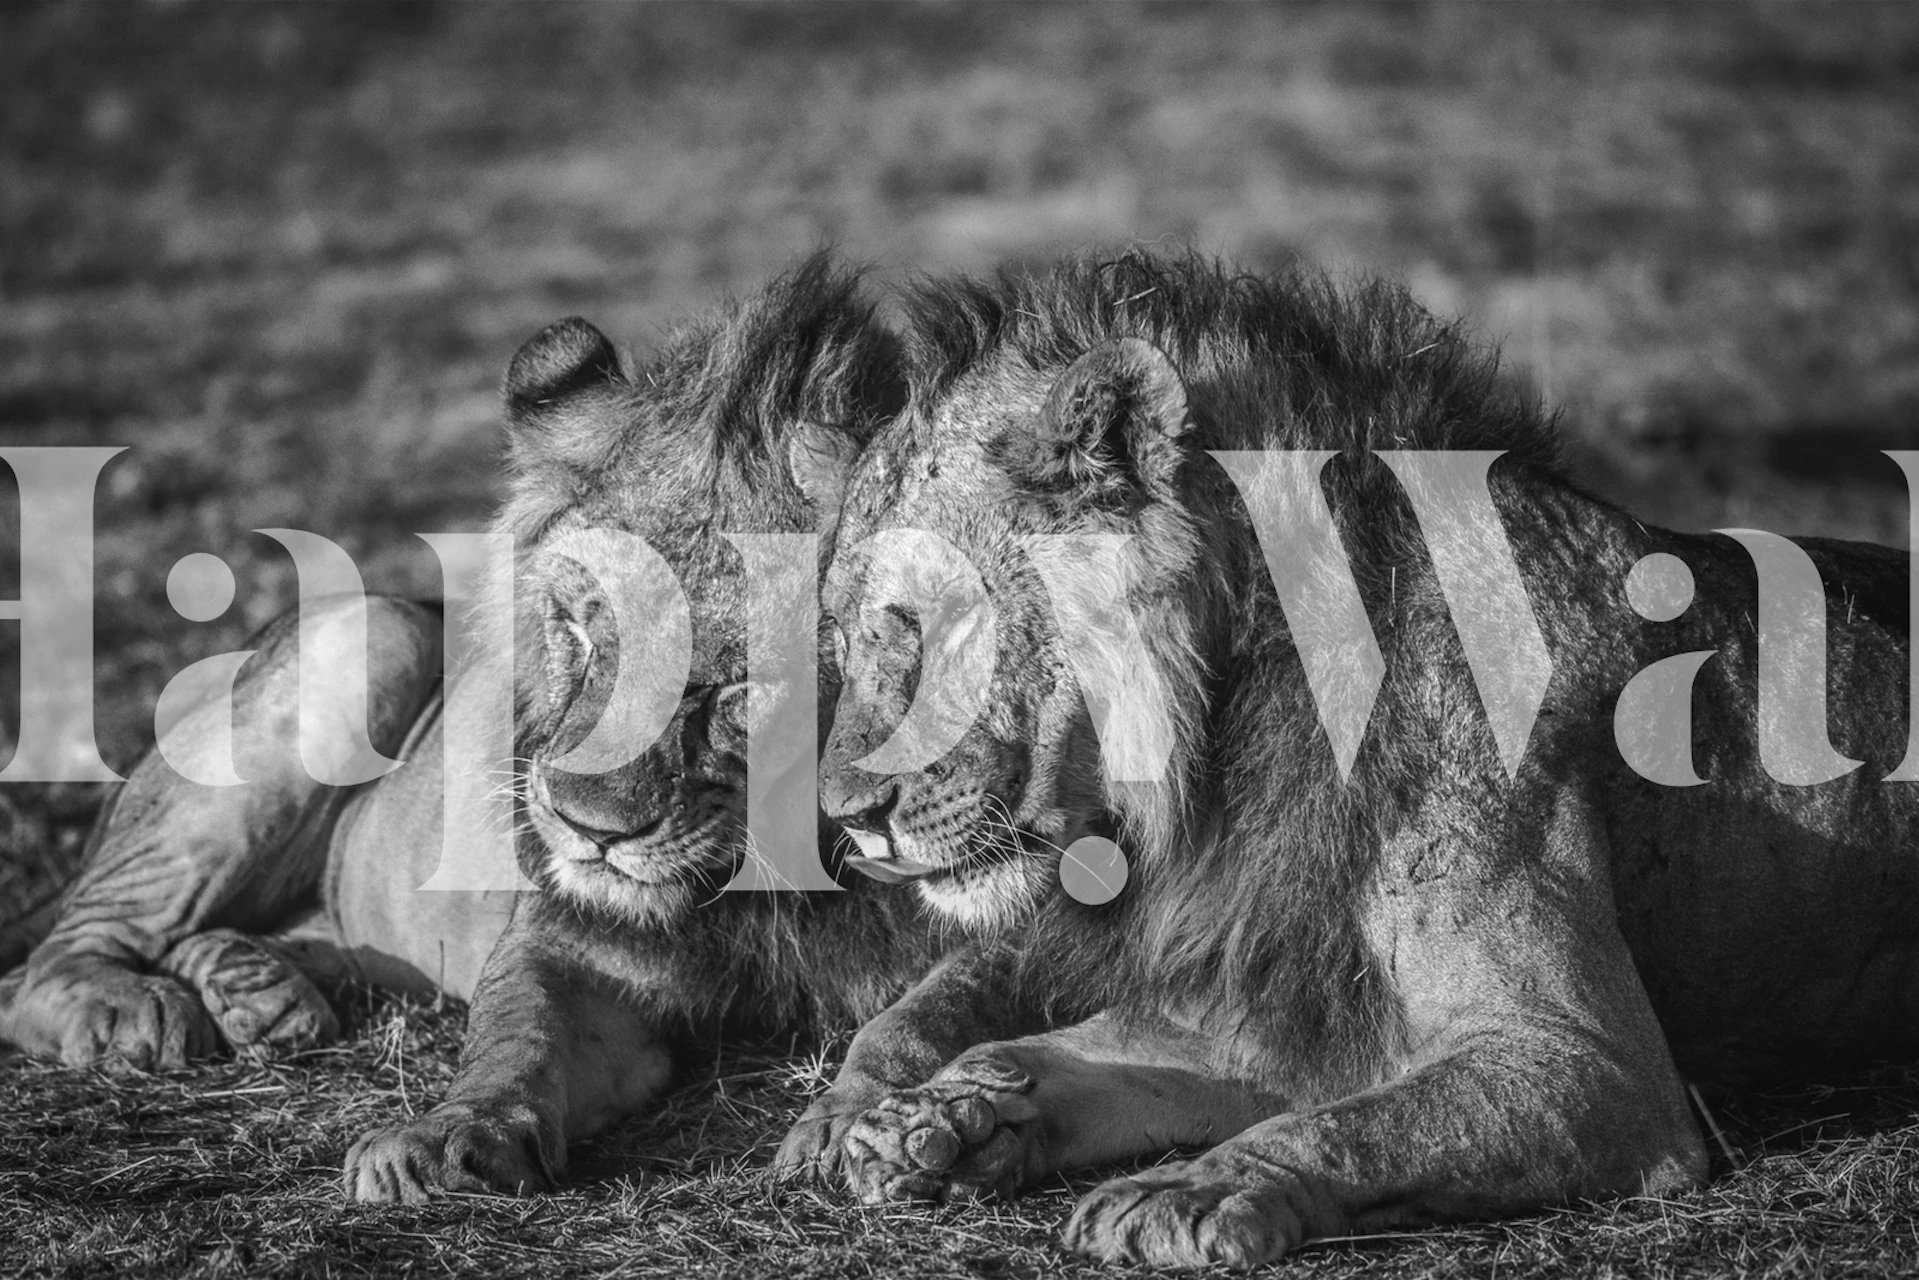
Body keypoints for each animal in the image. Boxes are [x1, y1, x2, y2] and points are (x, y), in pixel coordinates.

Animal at [0, 255, 1007, 1201]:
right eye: (577, 628)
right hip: (377, 628)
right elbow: (513, 1034)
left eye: (741, 688)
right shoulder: (574, 946)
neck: (781, 875)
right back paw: (138, 1013)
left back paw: (260, 994)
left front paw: (863, 1125)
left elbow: (924, 1019)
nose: (589, 831)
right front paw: (445, 1140)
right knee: (53, 956)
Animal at [814, 248, 1919, 1268]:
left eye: (940, 617)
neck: (1229, 728)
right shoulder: (1272, 991)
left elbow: (1350, 1124)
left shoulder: (1587, 1060)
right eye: (846, 635)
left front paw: (1185, 1188)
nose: (844, 818)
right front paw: (934, 1116)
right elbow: (1060, 1049)